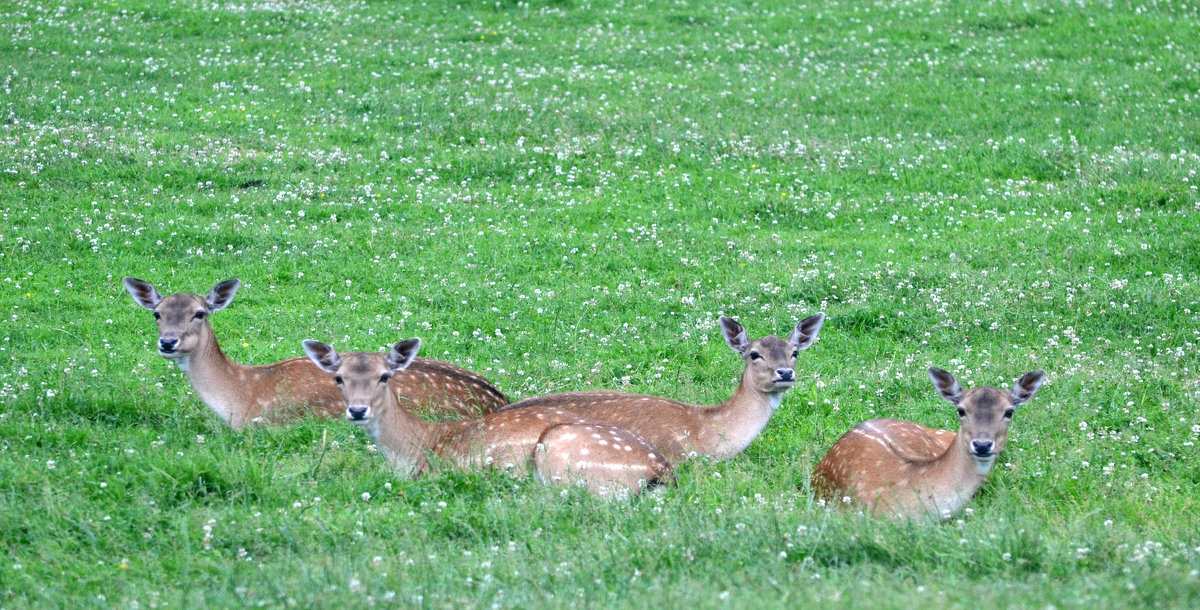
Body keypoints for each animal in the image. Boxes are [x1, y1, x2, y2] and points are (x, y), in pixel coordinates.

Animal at [302, 336, 676, 497]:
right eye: (338, 378)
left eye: (384, 376)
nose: (357, 410)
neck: (416, 450)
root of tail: (661, 475)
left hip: (563, 458)